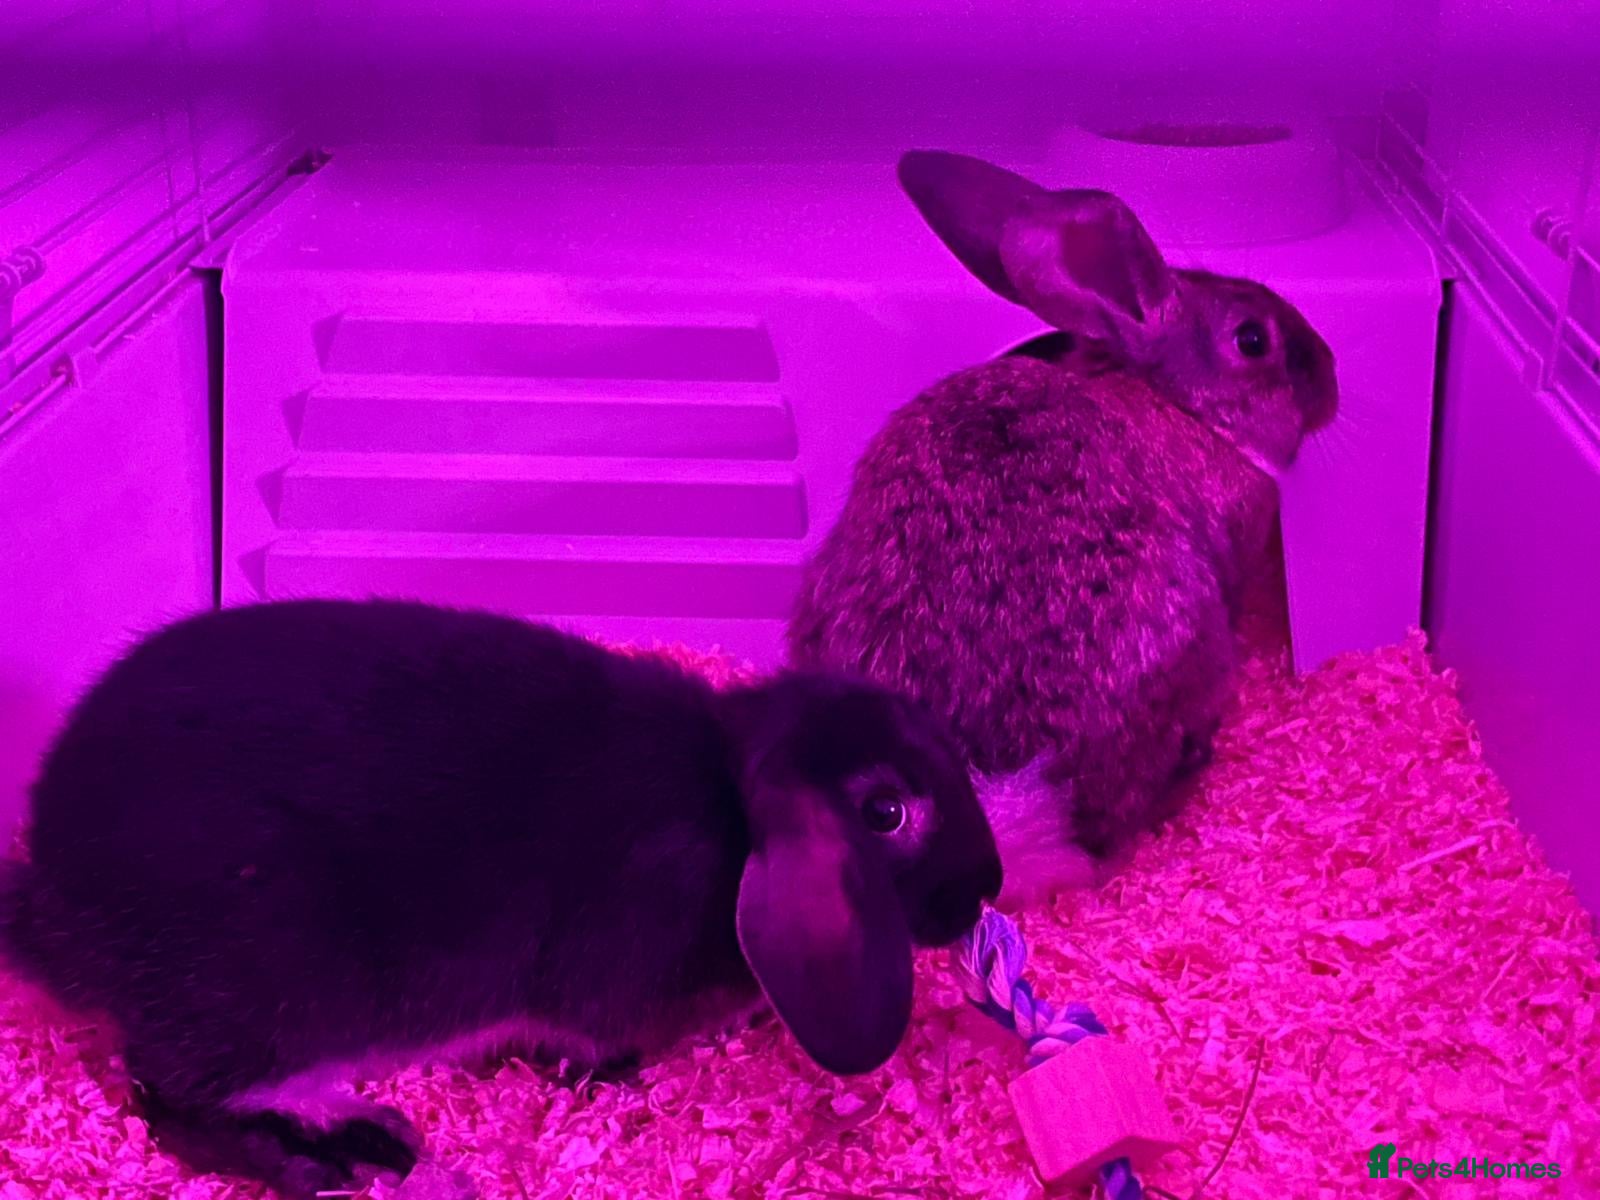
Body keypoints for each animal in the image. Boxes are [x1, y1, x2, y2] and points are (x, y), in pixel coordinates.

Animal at [0, 598, 1001, 1199]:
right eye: (886, 812)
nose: (985, 887)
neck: (730, 801)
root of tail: (52, 906)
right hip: (268, 1001)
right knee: (171, 1102)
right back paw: (338, 1156)